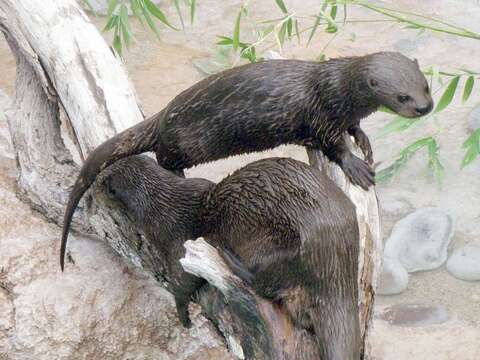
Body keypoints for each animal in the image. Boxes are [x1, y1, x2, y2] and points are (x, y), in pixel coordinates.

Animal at [60, 50, 432, 270]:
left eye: (426, 86)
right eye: (403, 96)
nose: (424, 107)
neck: (337, 91)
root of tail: (163, 114)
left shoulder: (342, 114)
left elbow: (352, 128)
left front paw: (363, 138)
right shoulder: (321, 117)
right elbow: (332, 144)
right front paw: (356, 166)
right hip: (184, 141)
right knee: (163, 157)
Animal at [98, 155, 360, 360]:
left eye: (100, 182)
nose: (93, 189)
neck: (158, 206)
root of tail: (337, 268)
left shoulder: (180, 240)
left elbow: (182, 281)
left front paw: (183, 316)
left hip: (286, 248)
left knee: (264, 284)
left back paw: (229, 256)